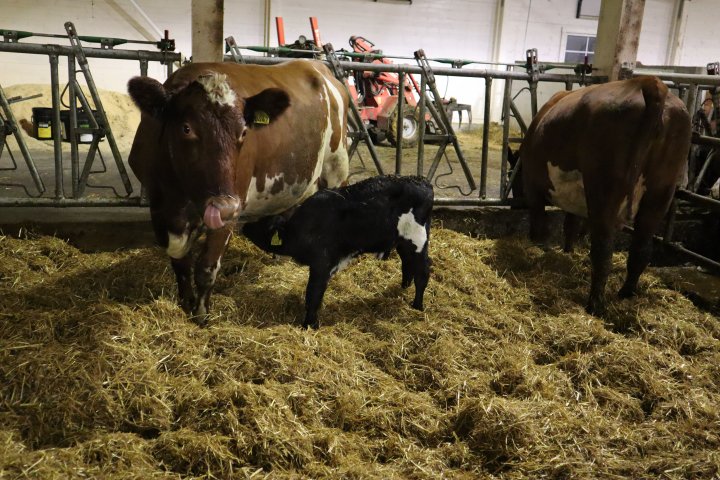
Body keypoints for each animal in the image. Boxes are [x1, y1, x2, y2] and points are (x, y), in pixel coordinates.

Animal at [128, 60, 350, 322]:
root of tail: (314, 65)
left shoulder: (231, 206)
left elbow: (207, 267)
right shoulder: (160, 208)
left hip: (337, 167)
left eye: (244, 132)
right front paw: (185, 303)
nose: (225, 206)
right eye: (186, 128)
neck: (179, 198)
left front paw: (201, 315)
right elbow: (180, 262)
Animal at [242, 176, 434, 330]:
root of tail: (422, 181)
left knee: (422, 272)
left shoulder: (321, 263)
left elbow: (313, 294)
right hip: (403, 241)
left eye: (263, 224)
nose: (243, 225)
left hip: (417, 240)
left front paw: (309, 325)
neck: (298, 229)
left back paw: (417, 306)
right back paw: (403, 289)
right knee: (407, 265)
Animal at [524, 75, 692, 316]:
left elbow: (542, 224)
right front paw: (567, 252)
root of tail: (649, 82)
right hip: (661, 190)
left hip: (605, 187)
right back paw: (626, 294)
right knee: (641, 249)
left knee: (603, 251)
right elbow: (570, 225)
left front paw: (541, 248)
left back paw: (595, 305)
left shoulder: (533, 188)